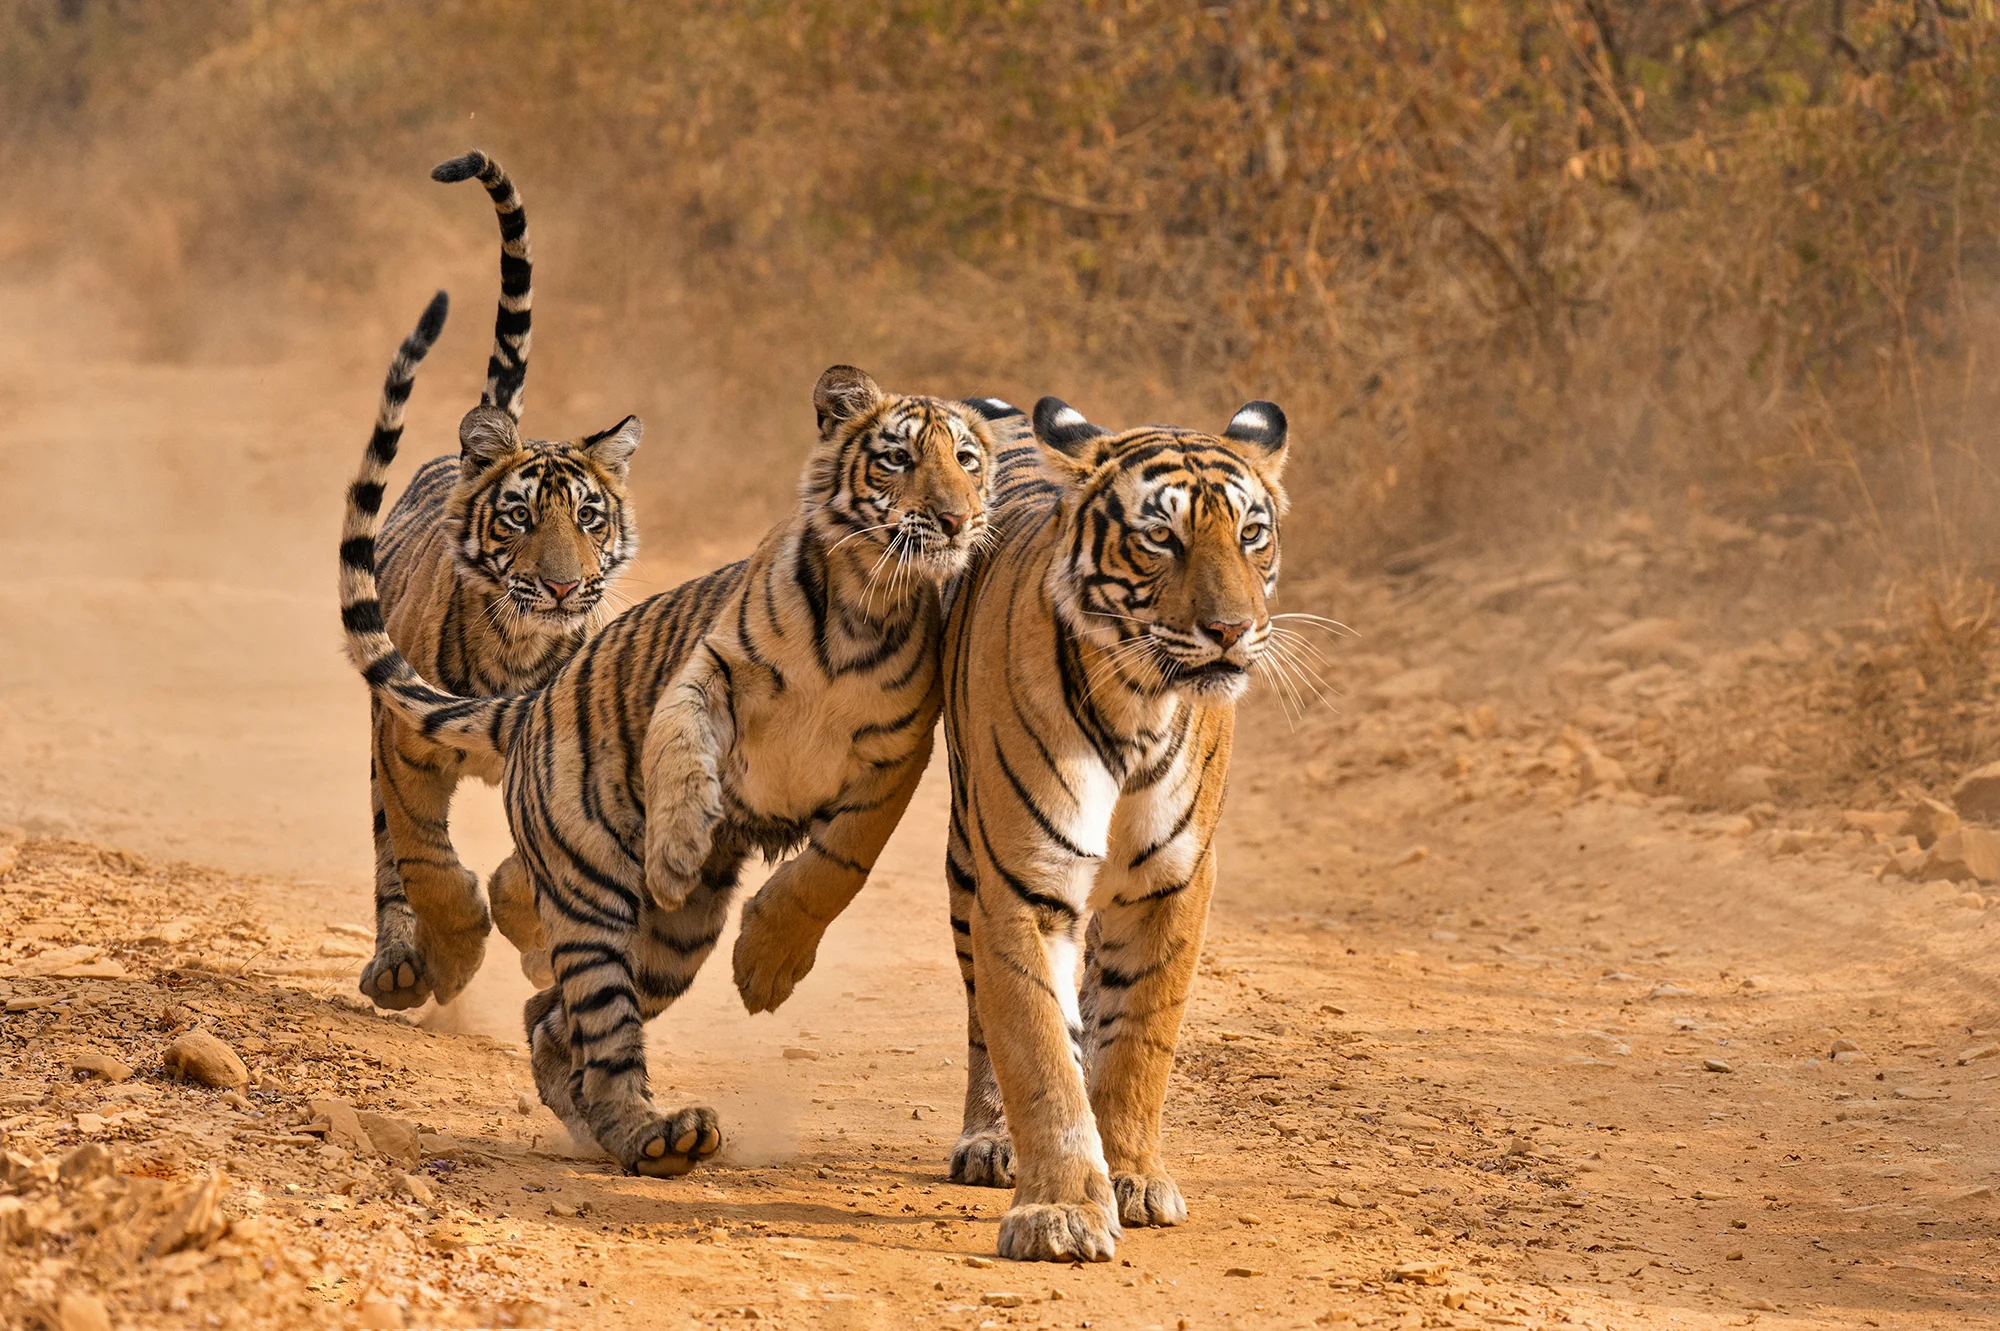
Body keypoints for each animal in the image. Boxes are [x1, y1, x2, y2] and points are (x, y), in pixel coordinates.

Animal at [340, 315, 1001, 1175]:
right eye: (899, 458)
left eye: (967, 461)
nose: (955, 519)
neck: (865, 598)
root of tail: (533, 701)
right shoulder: (709, 666)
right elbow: (682, 746)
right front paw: (678, 849)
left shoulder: (897, 757)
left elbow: (835, 866)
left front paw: (766, 966)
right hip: (591, 894)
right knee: (593, 1020)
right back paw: (654, 1131)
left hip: (671, 945)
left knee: (554, 1022)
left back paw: (637, 1129)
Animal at [355, 149, 642, 1012]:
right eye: (519, 517)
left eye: (589, 517)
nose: (561, 589)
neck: (518, 645)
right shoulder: (404, 744)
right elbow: (427, 862)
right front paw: (453, 957)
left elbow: (530, 873)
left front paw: (533, 942)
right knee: (388, 856)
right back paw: (401, 965)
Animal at [731, 392, 1291, 1262]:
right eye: (1161, 537)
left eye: (1251, 534)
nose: (1232, 630)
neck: (1139, 703)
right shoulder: (1022, 880)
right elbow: (1037, 1049)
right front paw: (1059, 1209)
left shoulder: (1172, 882)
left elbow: (1139, 1037)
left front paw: (1132, 1176)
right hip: (970, 861)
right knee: (986, 1015)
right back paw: (991, 1140)